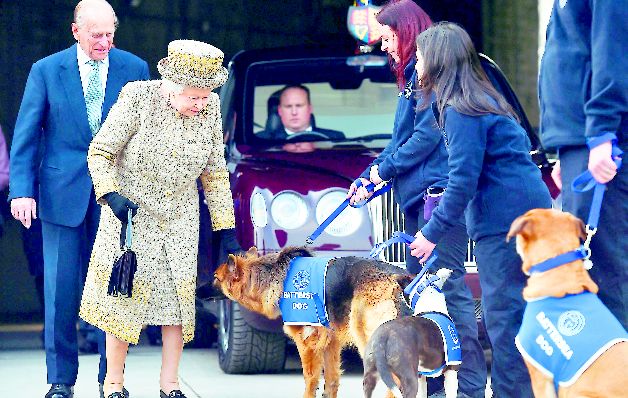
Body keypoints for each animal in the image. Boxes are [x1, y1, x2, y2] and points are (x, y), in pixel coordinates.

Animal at [215, 246, 412, 398]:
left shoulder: (307, 342)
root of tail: (397, 277)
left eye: (216, 278)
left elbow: (310, 379)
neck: (274, 274)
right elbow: (332, 381)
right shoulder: (331, 343)